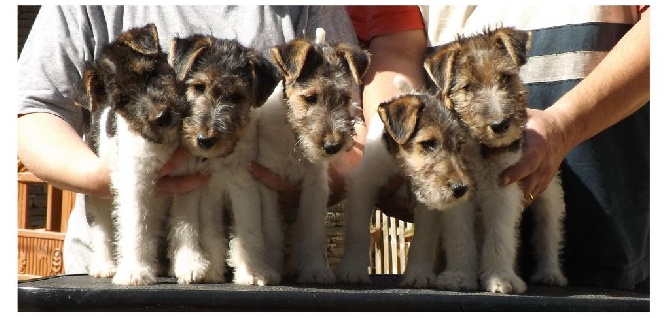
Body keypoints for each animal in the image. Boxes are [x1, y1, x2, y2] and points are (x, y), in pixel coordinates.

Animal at [171, 34, 284, 286]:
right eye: (198, 87)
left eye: (236, 96)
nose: (205, 140)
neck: (216, 161)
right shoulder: (196, 187)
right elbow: (194, 229)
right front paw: (201, 269)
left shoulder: (244, 185)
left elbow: (249, 232)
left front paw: (253, 272)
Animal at [258, 29, 372, 284]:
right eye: (310, 98)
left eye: (345, 98)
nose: (333, 146)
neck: (294, 138)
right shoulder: (267, 181)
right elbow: (270, 233)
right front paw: (269, 268)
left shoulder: (315, 186)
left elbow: (312, 233)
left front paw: (316, 271)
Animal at [426, 26, 568, 294]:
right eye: (467, 87)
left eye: (505, 77)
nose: (500, 125)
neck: (480, 146)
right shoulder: (457, 190)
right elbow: (459, 235)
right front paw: (458, 276)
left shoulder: (503, 188)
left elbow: (500, 236)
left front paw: (500, 278)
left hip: (549, 196)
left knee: (548, 233)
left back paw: (550, 273)